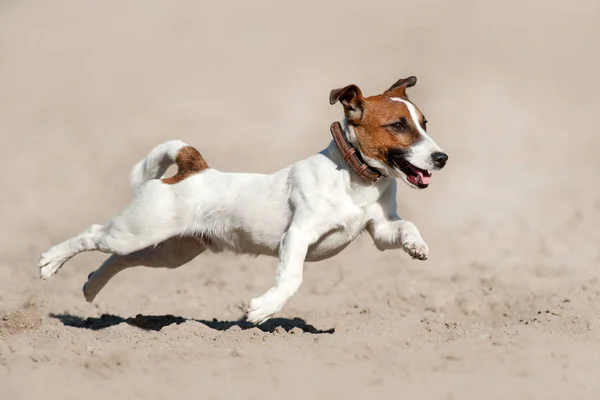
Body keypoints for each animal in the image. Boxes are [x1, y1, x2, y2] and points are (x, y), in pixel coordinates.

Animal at [37, 76, 448, 324]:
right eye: (399, 125)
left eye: (425, 124)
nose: (442, 158)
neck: (355, 177)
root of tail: (192, 167)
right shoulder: (297, 236)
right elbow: (292, 278)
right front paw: (263, 309)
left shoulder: (379, 230)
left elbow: (404, 226)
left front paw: (417, 245)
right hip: (138, 232)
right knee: (93, 235)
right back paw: (50, 262)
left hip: (168, 250)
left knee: (119, 259)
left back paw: (91, 286)